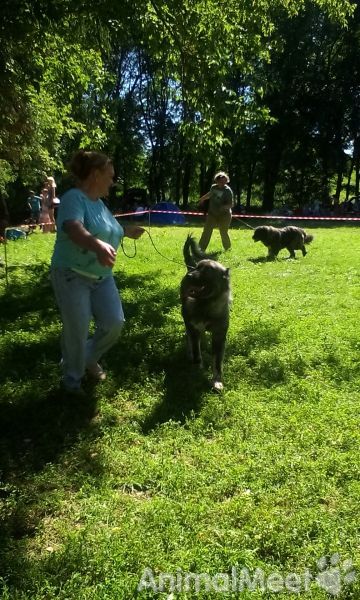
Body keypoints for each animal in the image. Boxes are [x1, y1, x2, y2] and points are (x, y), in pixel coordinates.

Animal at [180, 232, 231, 392]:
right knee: (188, 337)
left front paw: (217, 381)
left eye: (208, 270)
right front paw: (197, 369)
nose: (189, 276)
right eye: (197, 267)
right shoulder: (194, 329)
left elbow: (217, 363)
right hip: (187, 322)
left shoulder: (219, 336)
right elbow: (197, 352)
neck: (206, 305)